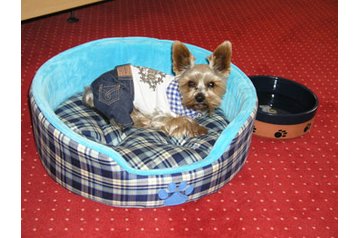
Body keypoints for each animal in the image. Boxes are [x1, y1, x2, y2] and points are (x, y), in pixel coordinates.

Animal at [83, 40, 232, 138]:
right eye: (190, 83)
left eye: (211, 84)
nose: (200, 97)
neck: (182, 98)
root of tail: (91, 91)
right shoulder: (161, 116)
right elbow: (181, 120)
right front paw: (198, 128)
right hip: (119, 99)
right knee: (125, 120)